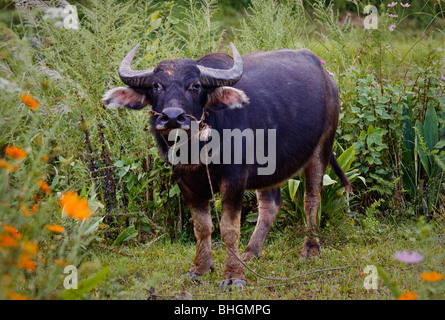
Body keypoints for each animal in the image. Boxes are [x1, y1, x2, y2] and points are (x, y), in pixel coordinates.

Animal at [103, 43, 350, 288]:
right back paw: (250, 253)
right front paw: (199, 269)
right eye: (156, 85)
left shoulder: (234, 179)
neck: (197, 148)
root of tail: (328, 78)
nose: (172, 117)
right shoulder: (184, 182)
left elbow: (229, 228)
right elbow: (202, 227)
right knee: (270, 204)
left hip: (322, 147)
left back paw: (310, 249)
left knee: (311, 198)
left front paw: (233, 276)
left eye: (195, 86)